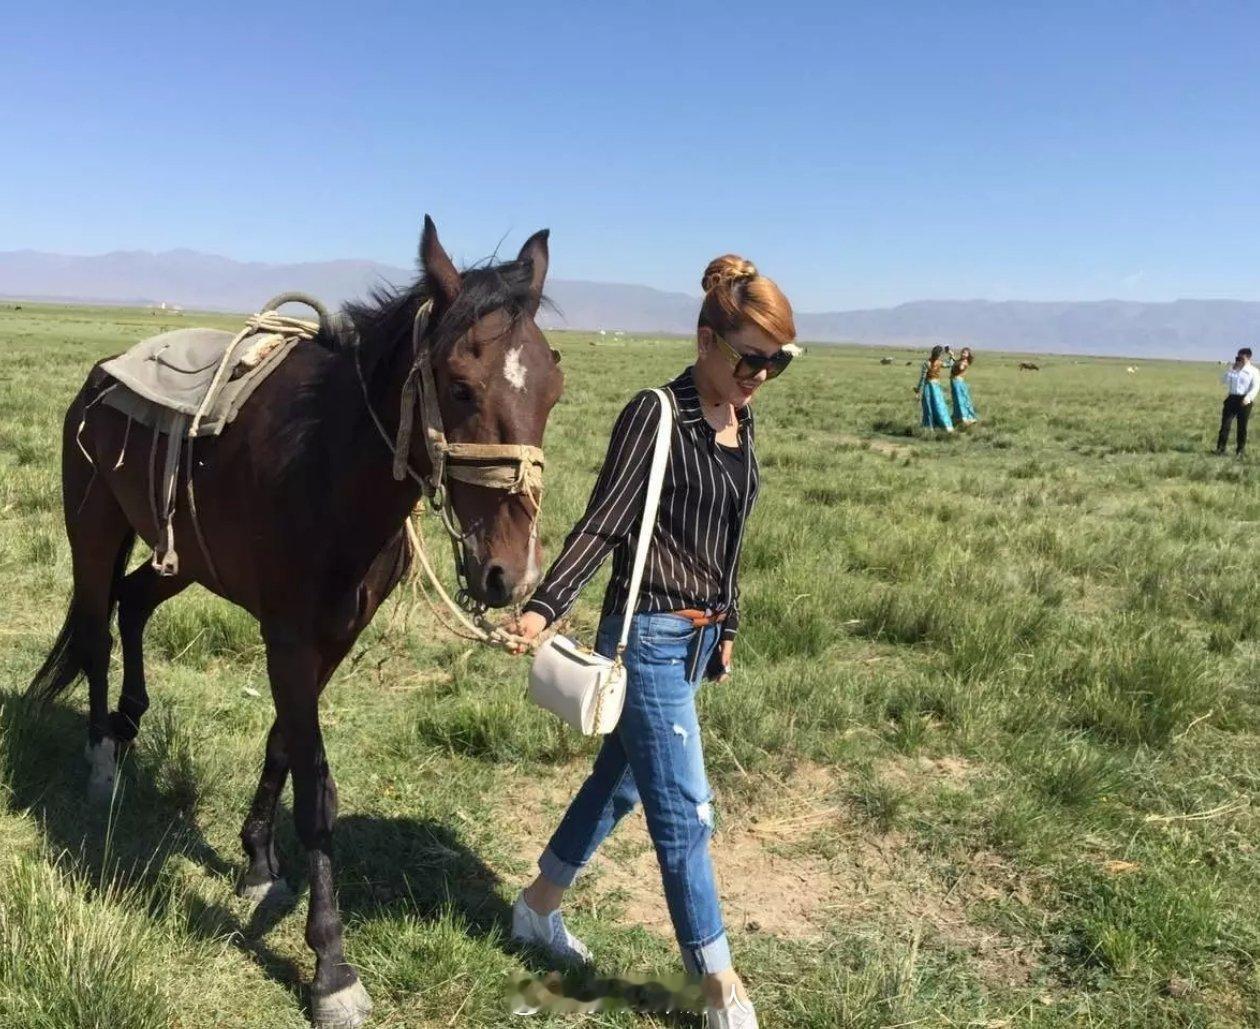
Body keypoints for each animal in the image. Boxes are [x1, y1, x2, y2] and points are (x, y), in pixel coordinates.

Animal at [25, 216, 563, 1028]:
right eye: (460, 385)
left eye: (554, 387)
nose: (513, 573)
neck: (330, 469)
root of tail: (103, 375)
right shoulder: (286, 636)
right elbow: (315, 787)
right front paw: (330, 965)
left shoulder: (333, 637)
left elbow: (283, 743)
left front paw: (256, 862)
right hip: (92, 529)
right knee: (94, 627)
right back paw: (101, 761)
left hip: (181, 560)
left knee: (132, 604)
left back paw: (130, 718)